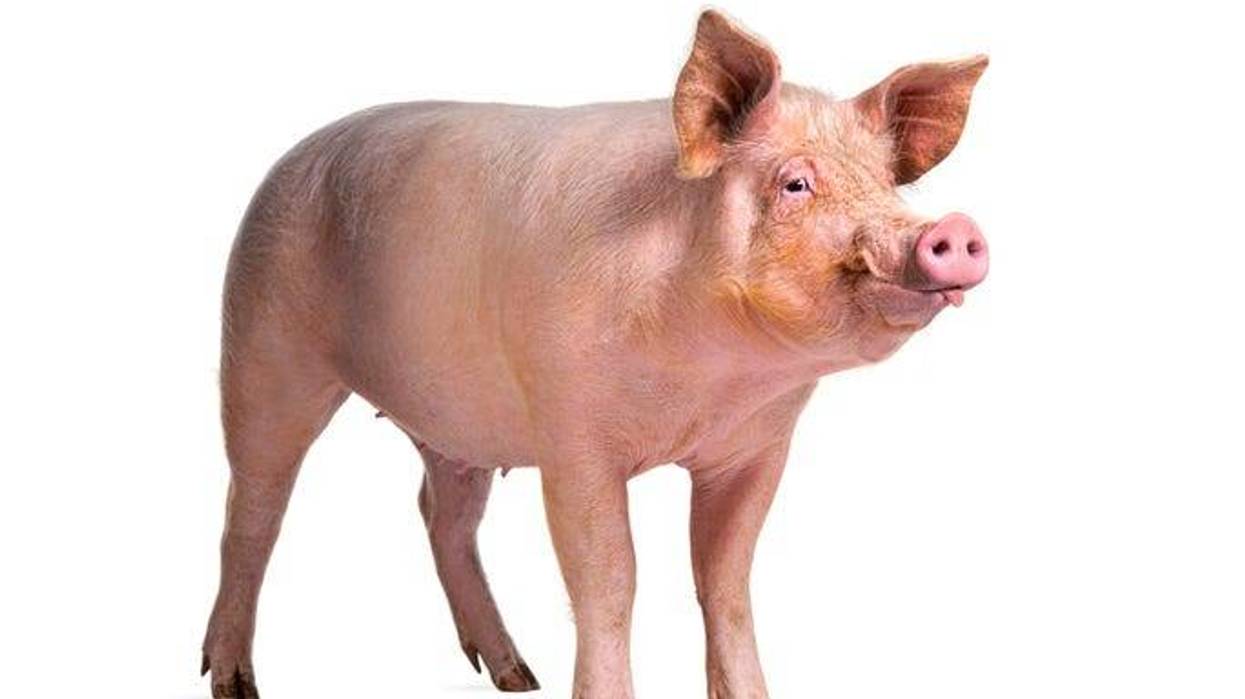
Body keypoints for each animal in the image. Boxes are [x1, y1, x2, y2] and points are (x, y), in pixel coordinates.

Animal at [201, 9, 988, 699]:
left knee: (441, 514)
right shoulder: (572, 436)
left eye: (888, 186)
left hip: (454, 419)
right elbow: (609, 582)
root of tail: (287, 159)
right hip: (261, 344)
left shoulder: (756, 446)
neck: (709, 385)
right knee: (251, 508)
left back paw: (517, 675)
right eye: (795, 183)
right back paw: (234, 682)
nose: (948, 229)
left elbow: (726, 583)